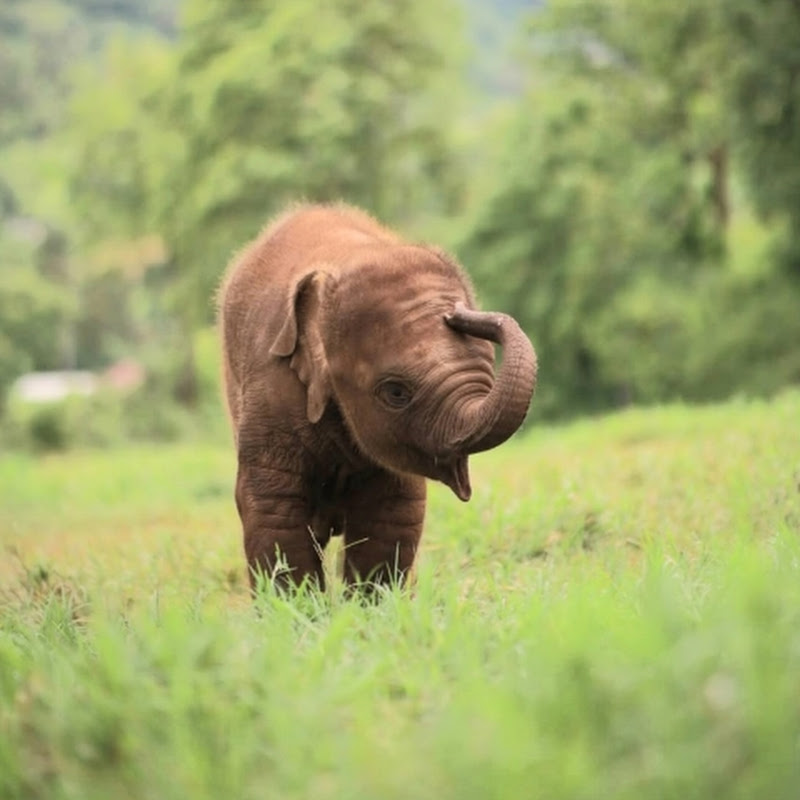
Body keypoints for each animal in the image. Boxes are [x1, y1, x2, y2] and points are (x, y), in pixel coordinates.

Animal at [218, 204, 537, 592]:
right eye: (396, 392)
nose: (457, 313)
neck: (348, 258)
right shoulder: (273, 388)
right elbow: (276, 513)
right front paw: (298, 609)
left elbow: (390, 516)